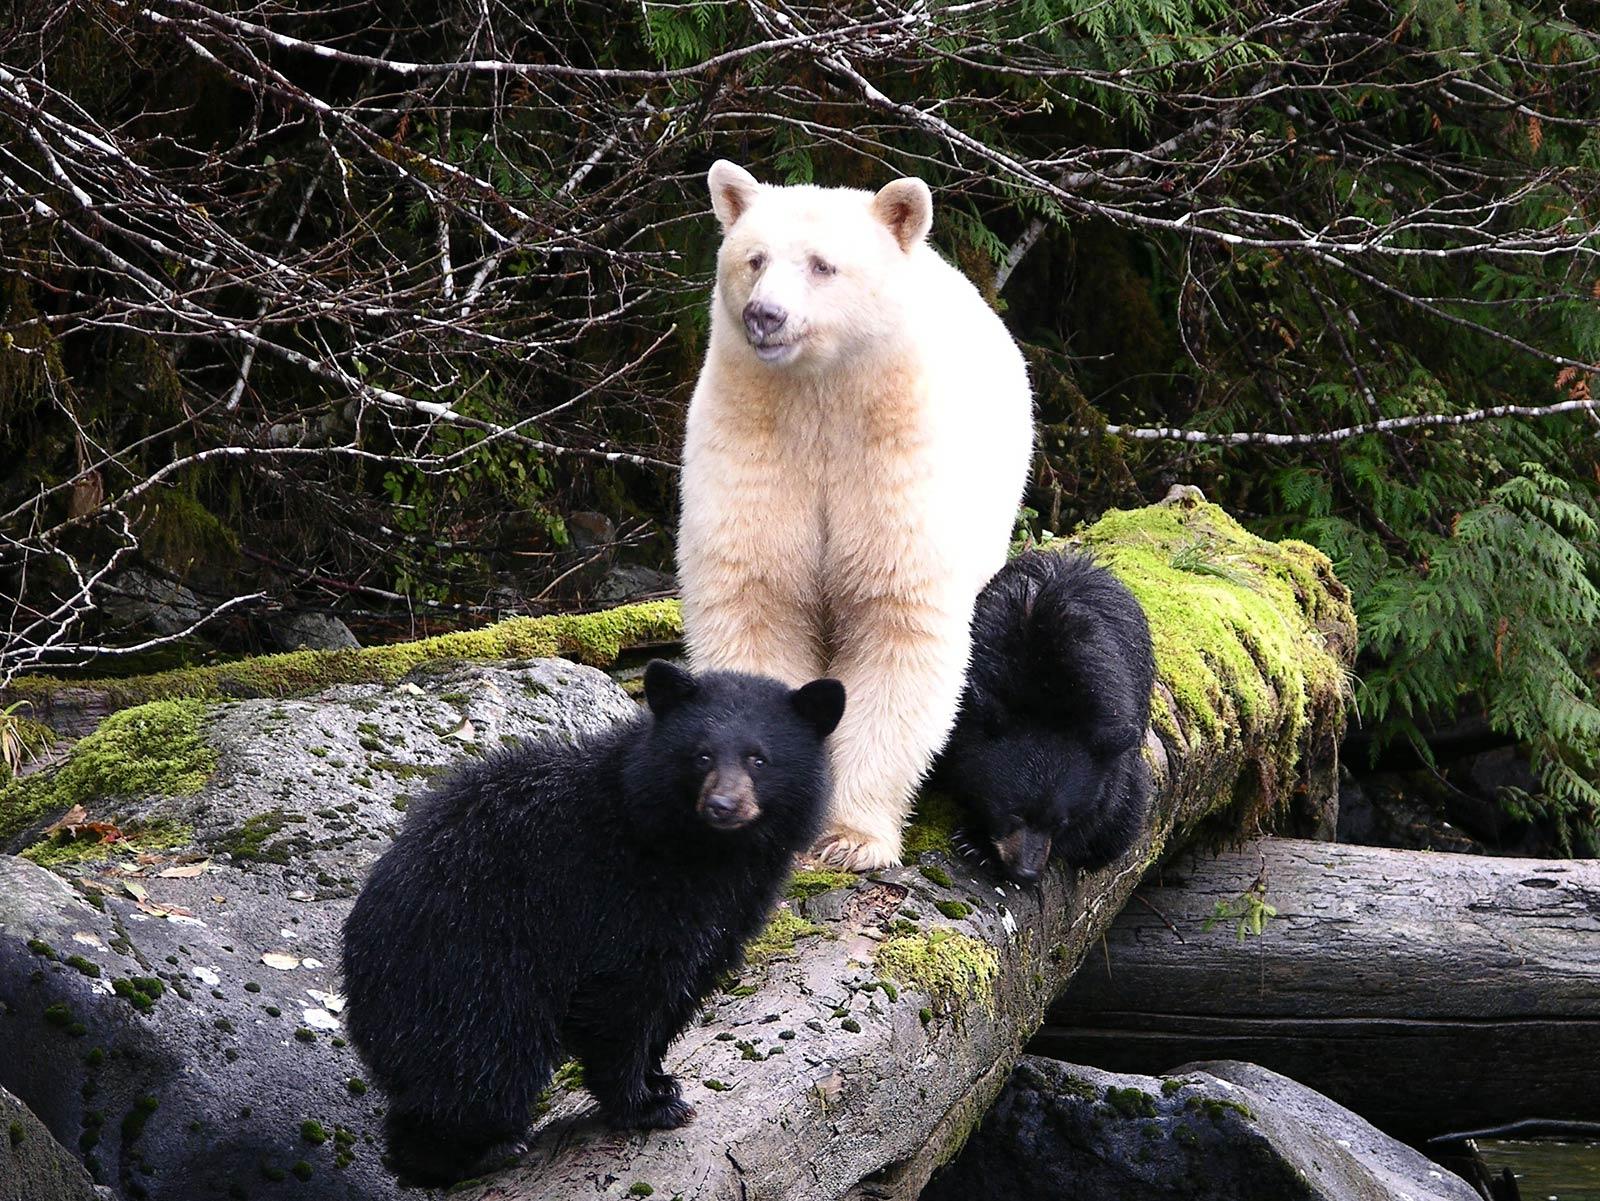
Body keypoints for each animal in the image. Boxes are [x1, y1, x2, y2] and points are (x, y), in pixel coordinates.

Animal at [678, 162, 1036, 876]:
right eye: (754, 259)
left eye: (823, 265)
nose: (765, 314)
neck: (822, 394)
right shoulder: (754, 444)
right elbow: (756, 599)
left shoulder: (895, 461)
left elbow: (895, 621)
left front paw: (850, 836)